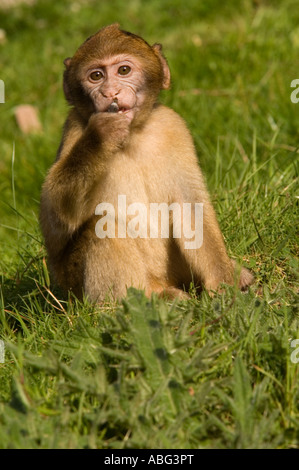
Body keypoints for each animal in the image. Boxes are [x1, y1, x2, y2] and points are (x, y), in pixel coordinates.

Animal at [39, 23, 254, 302]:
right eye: (96, 76)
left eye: (124, 70)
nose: (110, 92)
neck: (133, 135)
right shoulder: (74, 129)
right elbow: (55, 221)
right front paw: (101, 135)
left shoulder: (173, 127)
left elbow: (190, 207)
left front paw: (225, 285)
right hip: (77, 290)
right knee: (102, 226)